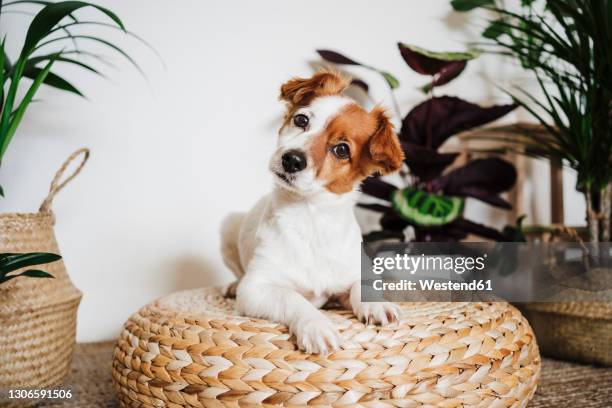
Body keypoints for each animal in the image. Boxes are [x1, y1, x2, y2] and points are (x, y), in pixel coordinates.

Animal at [221, 70, 406, 354]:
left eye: (342, 149)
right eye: (301, 120)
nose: (292, 159)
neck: (311, 217)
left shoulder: (351, 274)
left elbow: (361, 287)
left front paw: (376, 304)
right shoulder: (255, 288)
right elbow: (292, 297)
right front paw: (316, 326)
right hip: (228, 226)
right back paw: (231, 285)